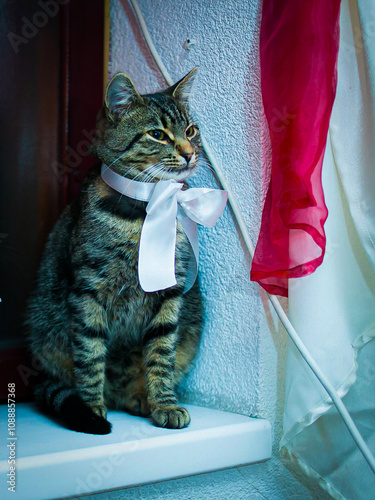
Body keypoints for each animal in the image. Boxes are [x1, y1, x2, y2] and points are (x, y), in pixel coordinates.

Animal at [25, 66, 204, 434]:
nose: (189, 152)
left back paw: (141, 399)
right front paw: (91, 407)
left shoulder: (172, 291)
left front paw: (164, 403)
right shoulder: (88, 288)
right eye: (157, 134)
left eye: (191, 130)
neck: (146, 205)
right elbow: (90, 353)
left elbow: (162, 352)